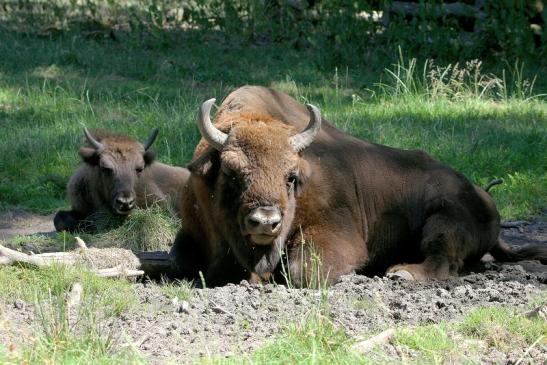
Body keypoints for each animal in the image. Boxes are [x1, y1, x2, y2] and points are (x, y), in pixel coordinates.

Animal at [170, 86, 544, 288]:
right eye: (231, 173)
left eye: (291, 176)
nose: (265, 221)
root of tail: (485, 199)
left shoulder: (336, 237)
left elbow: (302, 272)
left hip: (443, 220)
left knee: (444, 260)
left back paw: (401, 274)